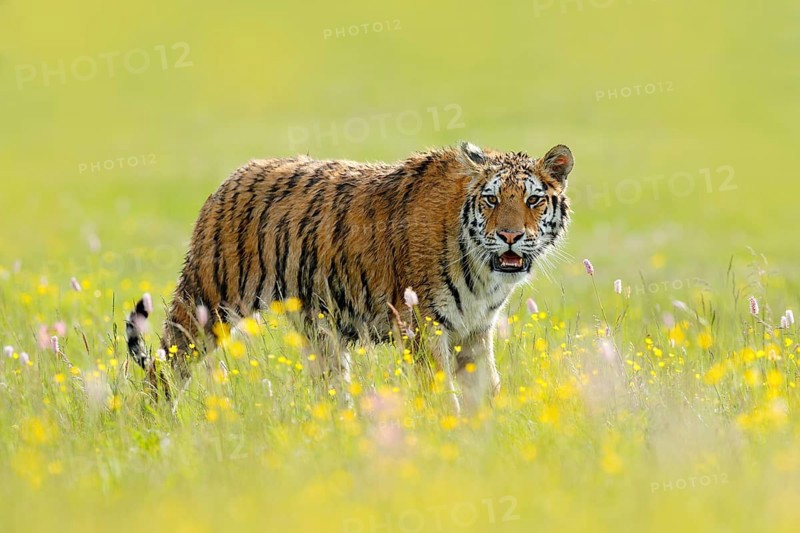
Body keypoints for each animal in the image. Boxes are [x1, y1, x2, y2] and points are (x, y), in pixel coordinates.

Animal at [126, 142, 574, 412]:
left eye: (534, 199)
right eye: (492, 199)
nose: (510, 236)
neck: (484, 271)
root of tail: (229, 179)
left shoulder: (476, 328)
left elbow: (486, 389)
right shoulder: (424, 325)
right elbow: (441, 392)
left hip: (318, 328)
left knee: (330, 387)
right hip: (206, 303)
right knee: (162, 370)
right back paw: (157, 427)